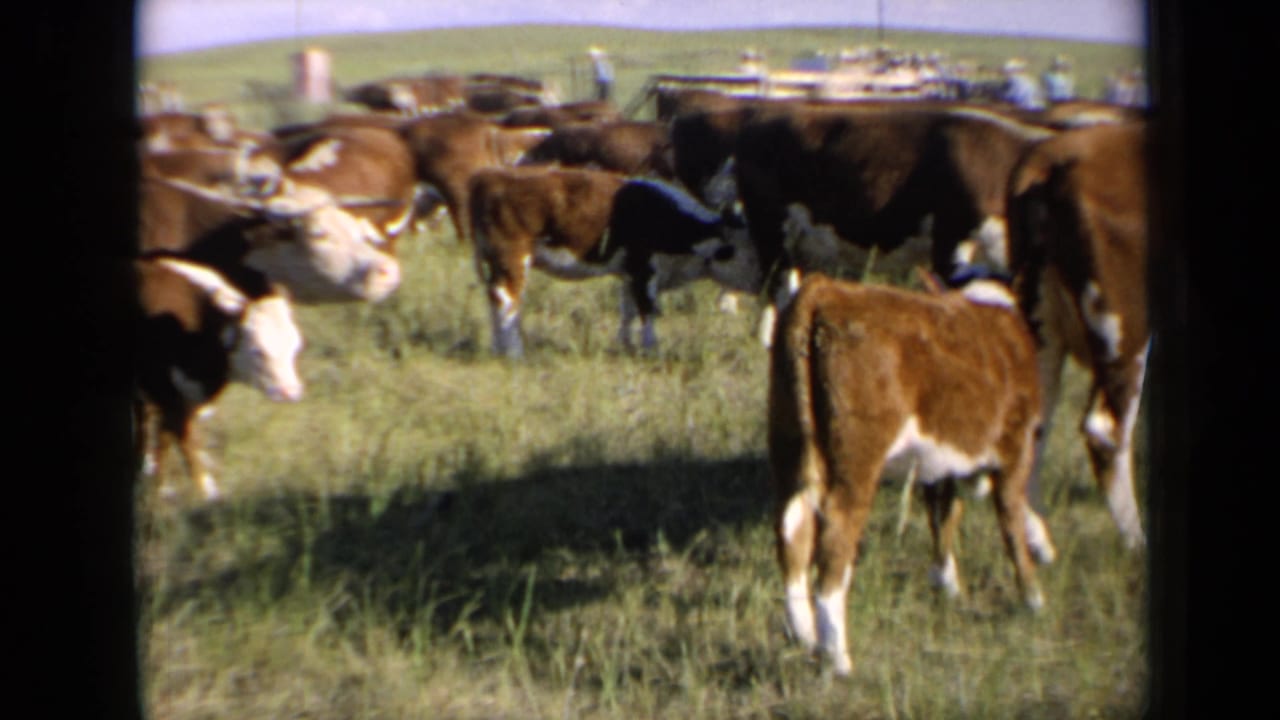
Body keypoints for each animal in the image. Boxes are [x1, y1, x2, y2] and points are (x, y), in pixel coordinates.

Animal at [135, 255, 304, 500]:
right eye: (258, 350)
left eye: (295, 346)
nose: (289, 392)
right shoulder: (164, 392)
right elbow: (188, 444)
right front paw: (208, 495)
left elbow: (164, 440)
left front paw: (160, 488)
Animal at [468, 167, 762, 357]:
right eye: (749, 253)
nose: (764, 283)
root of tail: (489, 176)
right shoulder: (644, 269)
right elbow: (647, 310)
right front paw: (651, 349)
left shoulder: (630, 273)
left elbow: (628, 309)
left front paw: (626, 344)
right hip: (512, 258)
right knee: (507, 300)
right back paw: (514, 352)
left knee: (495, 300)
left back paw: (497, 349)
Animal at [768, 271, 1056, 676]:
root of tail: (823, 289)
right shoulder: (1015, 447)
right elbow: (1011, 519)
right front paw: (1032, 598)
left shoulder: (939, 462)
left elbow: (944, 515)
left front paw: (948, 585)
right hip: (857, 459)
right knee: (834, 540)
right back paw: (838, 658)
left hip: (787, 442)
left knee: (792, 529)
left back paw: (805, 636)